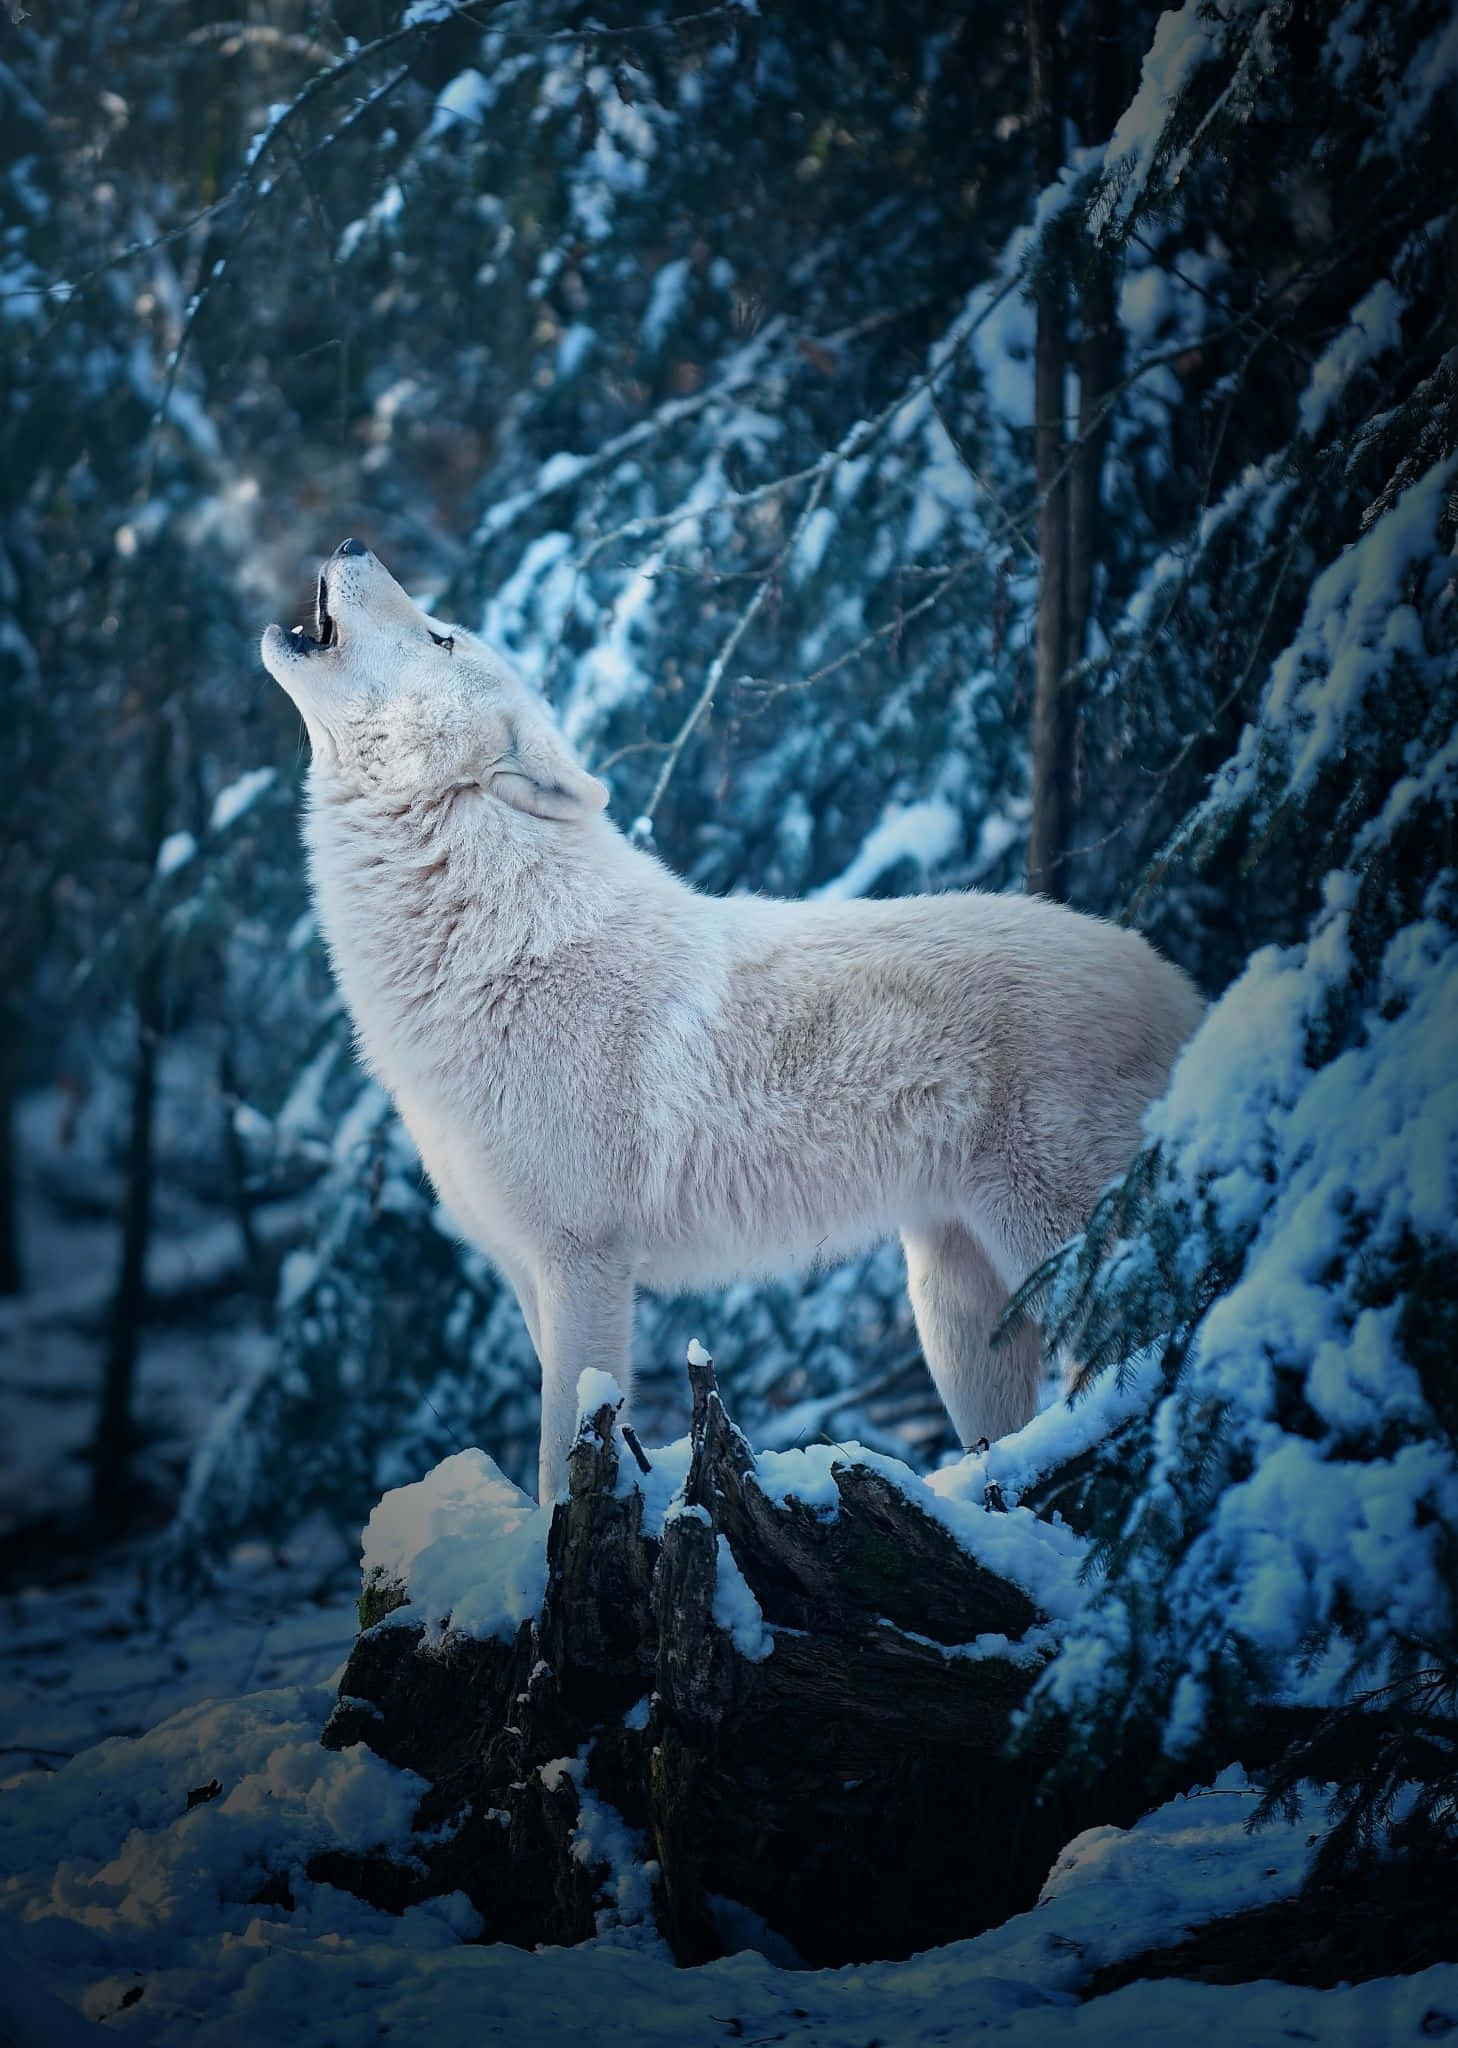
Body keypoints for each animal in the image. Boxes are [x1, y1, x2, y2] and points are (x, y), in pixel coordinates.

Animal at [262, 540, 1203, 1501]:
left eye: (441, 637)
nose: (351, 545)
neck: (491, 934)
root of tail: (1177, 981)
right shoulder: (525, 1272)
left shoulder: (584, 1264)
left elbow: (562, 1452)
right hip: (955, 1307)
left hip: (1057, 1257)